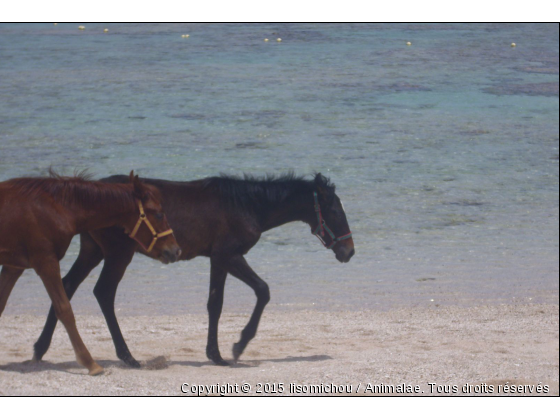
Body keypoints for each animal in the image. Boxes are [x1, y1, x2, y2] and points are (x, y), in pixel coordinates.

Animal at [0, 172, 179, 376]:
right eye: (159, 213)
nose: (175, 250)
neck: (53, 208)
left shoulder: (13, 266)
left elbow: (1, 304)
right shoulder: (45, 261)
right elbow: (65, 309)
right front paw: (90, 363)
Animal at [32, 172, 354, 366]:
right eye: (335, 211)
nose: (349, 252)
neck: (247, 204)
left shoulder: (217, 259)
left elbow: (215, 304)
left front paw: (216, 354)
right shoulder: (229, 255)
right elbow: (263, 291)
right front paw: (238, 346)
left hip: (92, 250)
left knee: (66, 286)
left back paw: (39, 349)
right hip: (117, 253)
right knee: (103, 293)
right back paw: (127, 356)